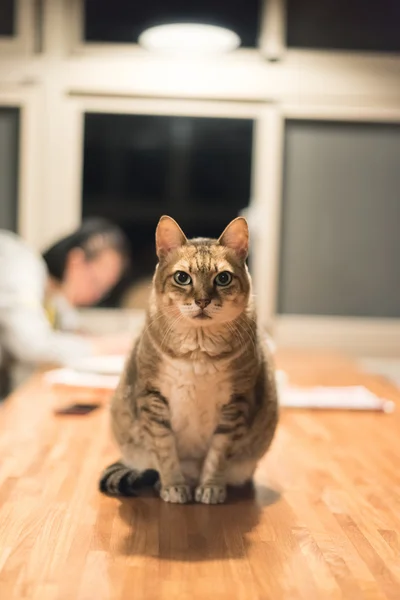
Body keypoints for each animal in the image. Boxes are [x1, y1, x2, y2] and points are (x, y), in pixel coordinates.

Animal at [99, 213, 278, 504]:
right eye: (182, 277)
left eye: (223, 278)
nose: (202, 300)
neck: (199, 350)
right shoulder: (153, 400)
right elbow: (165, 452)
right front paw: (173, 487)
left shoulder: (236, 404)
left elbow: (218, 455)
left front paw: (211, 488)